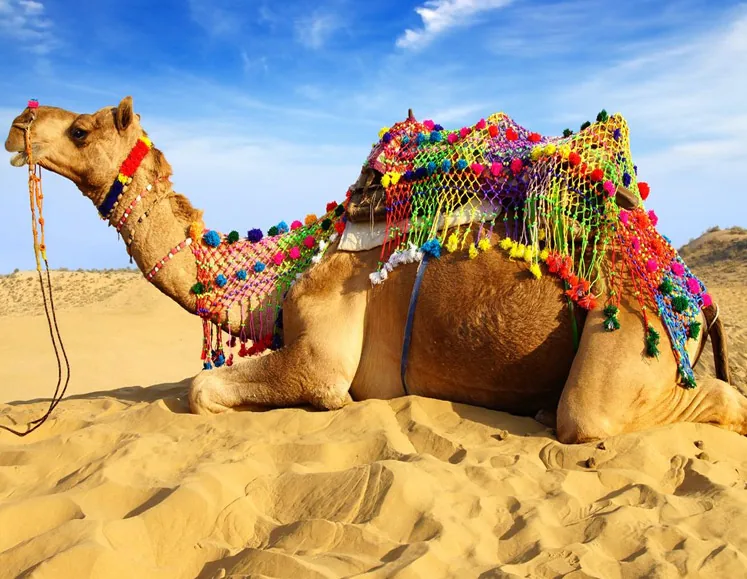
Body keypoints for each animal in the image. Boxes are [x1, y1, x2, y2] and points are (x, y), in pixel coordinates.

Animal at [5, 96, 746, 444]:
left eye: (81, 130)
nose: (19, 122)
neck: (282, 275)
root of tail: (691, 286)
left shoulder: (320, 355)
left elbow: (203, 388)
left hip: (636, 329)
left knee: (634, 410)